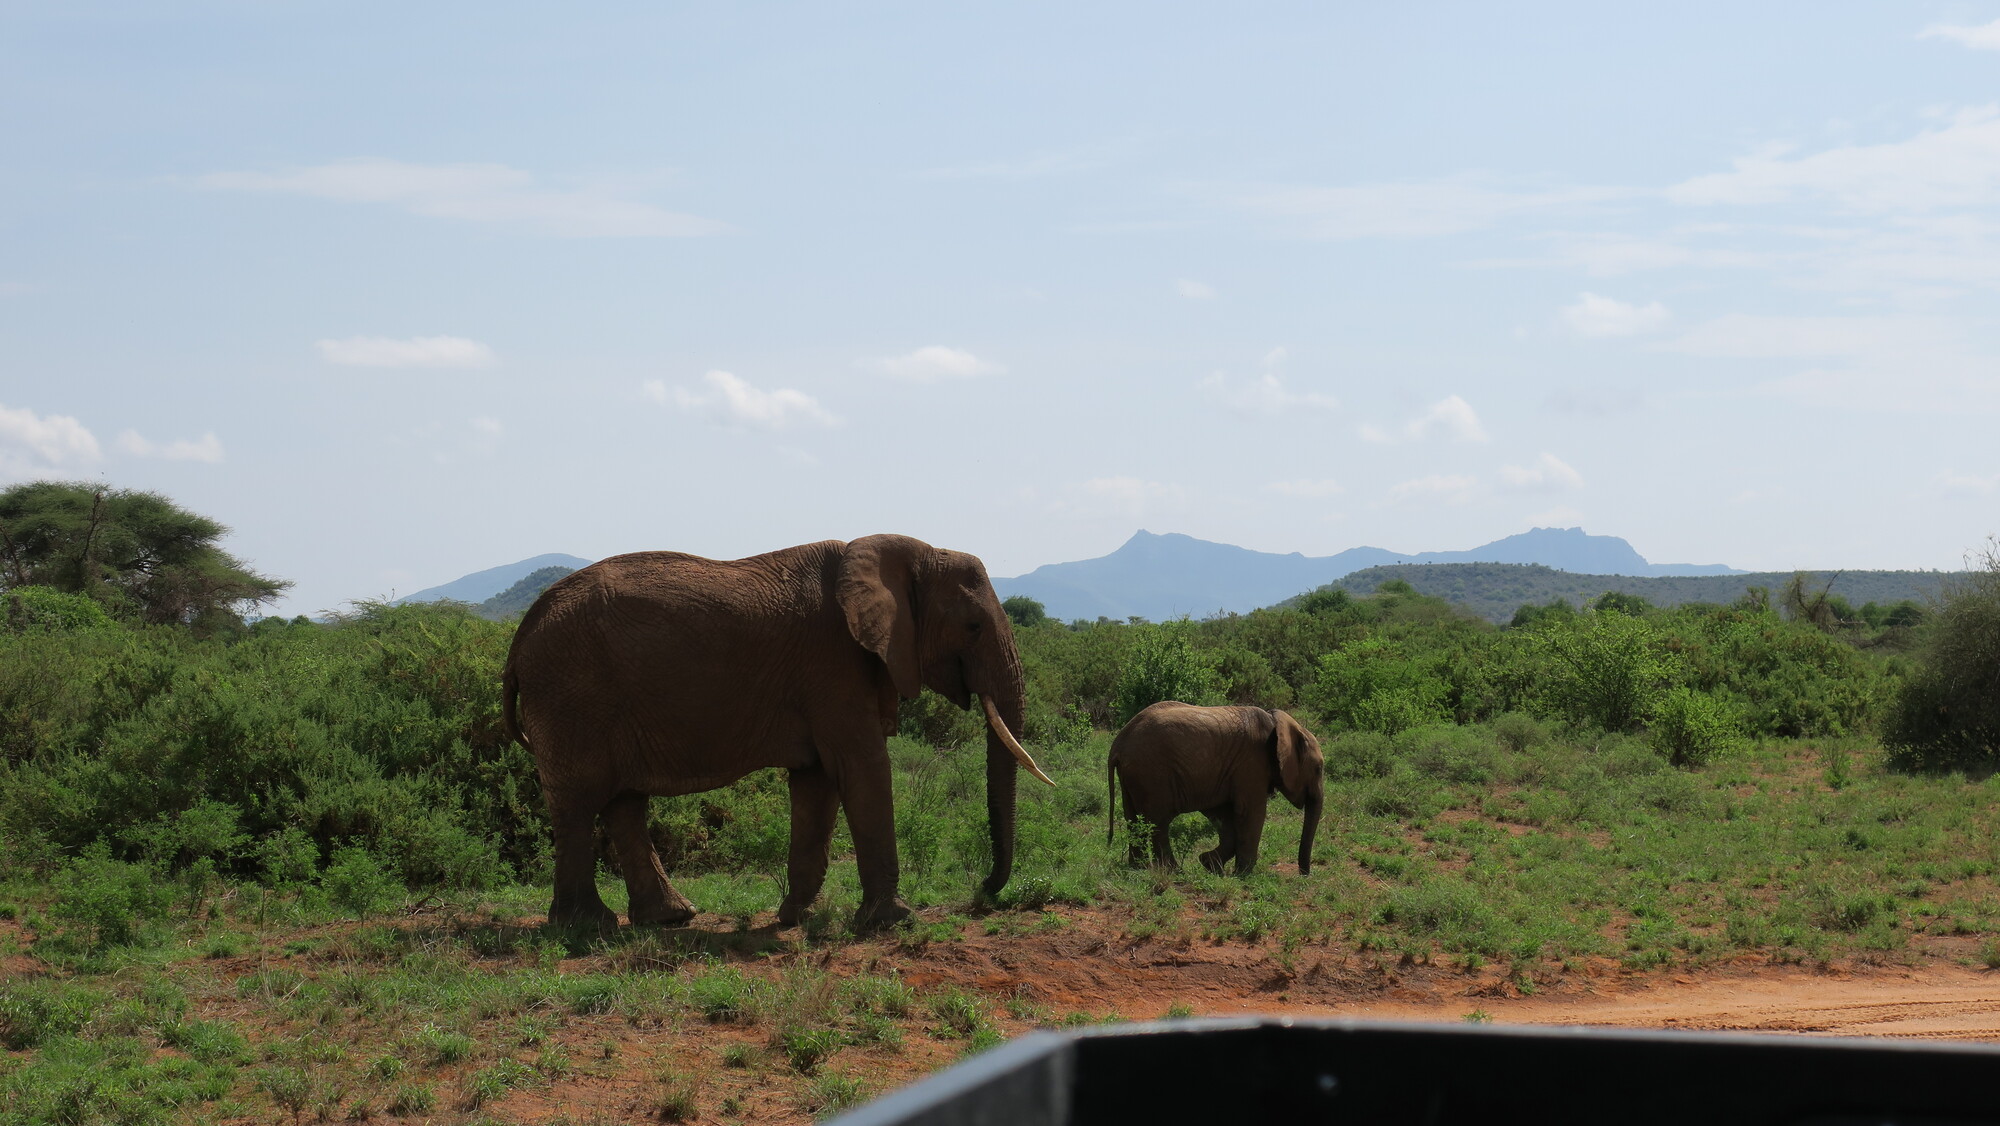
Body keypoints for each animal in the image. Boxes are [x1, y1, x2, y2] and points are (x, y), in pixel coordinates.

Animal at [500, 534, 1052, 933]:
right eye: (974, 626)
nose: (985, 890)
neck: (904, 552)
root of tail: (523, 631)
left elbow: (817, 784)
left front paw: (796, 918)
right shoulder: (833, 666)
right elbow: (864, 768)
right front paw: (893, 921)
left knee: (623, 803)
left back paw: (669, 918)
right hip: (572, 693)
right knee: (580, 803)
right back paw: (586, 928)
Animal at [1106, 702, 1324, 876]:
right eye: (1318, 768)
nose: (1304, 875)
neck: (1276, 722)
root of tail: (1118, 743)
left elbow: (1223, 815)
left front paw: (1209, 864)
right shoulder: (1251, 765)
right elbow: (1251, 812)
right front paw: (1242, 875)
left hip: (1134, 776)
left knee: (1134, 820)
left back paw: (1138, 869)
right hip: (1152, 774)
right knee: (1158, 822)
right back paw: (1175, 872)